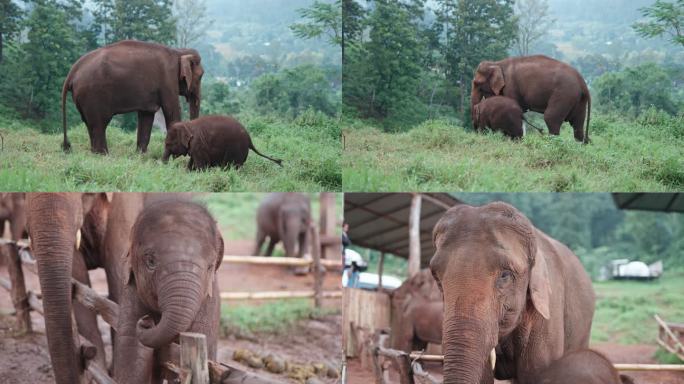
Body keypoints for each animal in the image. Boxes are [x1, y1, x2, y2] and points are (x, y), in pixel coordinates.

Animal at [61, 39, 203, 153]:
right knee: (99, 124)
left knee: (90, 124)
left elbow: (146, 115)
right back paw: (103, 155)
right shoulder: (168, 80)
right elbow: (171, 111)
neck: (178, 51)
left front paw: (141, 155)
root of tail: (72, 71)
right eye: (201, 76)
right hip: (93, 95)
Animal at [113, 198, 223, 384]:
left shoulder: (209, 304)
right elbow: (132, 352)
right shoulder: (131, 291)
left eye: (210, 267)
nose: (146, 320)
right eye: (150, 261)